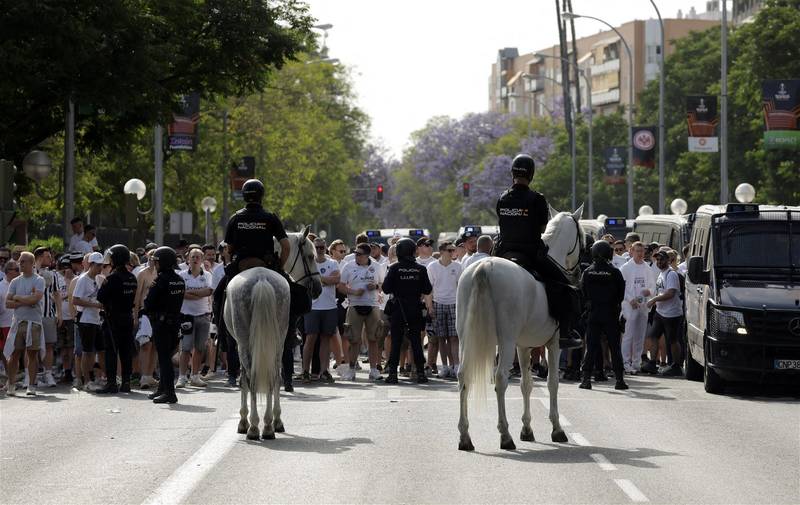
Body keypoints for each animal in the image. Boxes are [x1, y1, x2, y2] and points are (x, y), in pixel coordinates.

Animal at [222, 226, 322, 440]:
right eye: (311, 256)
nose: (318, 288)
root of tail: (261, 279)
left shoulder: (240, 344)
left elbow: (244, 379)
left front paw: (243, 421)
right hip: (277, 341)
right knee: (273, 375)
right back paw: (269, 425)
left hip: (247, 342)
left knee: (254, 378)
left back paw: (256, 426)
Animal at [460, 205, 584, 448]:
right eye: (582, 236)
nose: (578, 273)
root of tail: (485, 267)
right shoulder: (554, 343)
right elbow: (552, 383)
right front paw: (557, 429)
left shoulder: (524, 346)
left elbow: (526, 384)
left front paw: (527, 429)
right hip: (505, 341)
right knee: (500, 379)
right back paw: (505, 435)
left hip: (467, 338)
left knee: (463, 377)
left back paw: (465, 436)